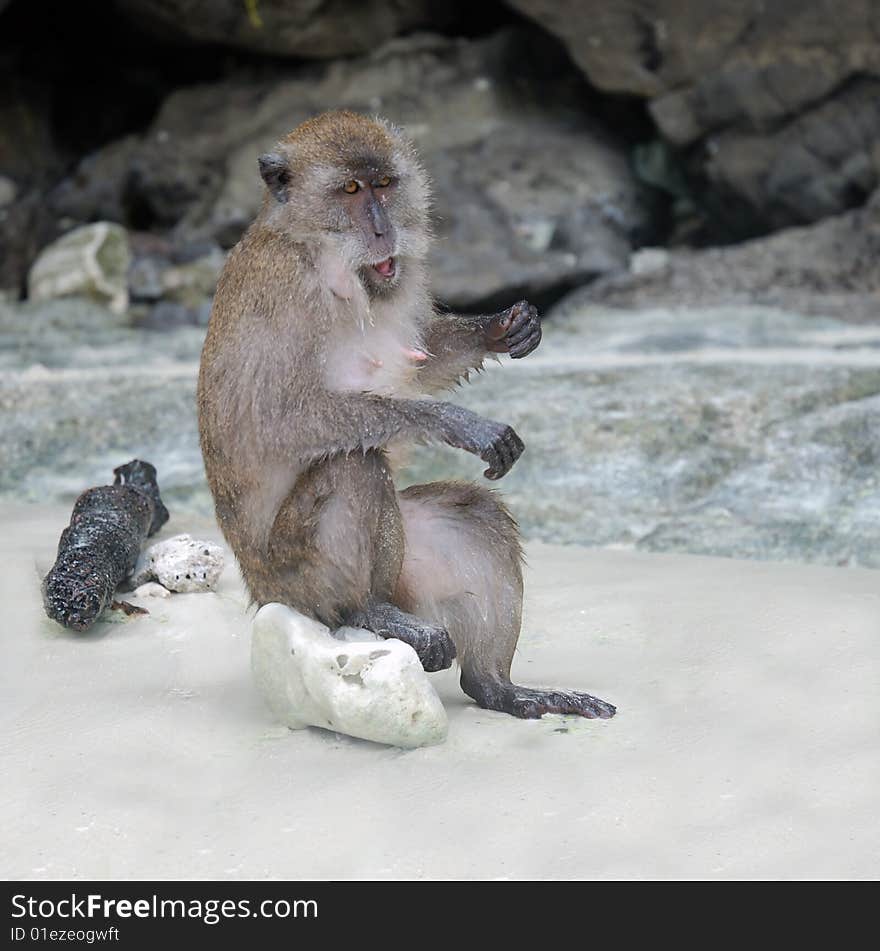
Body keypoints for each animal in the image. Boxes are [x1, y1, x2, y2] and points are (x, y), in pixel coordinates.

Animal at [197, 109, 616, 720]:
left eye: (384, 185)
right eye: (350, 190)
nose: (382, 230)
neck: (320, 250)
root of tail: (257, 587)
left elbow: (418, 362)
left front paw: (502, 328)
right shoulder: (285, 292)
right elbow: (275, 419)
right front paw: (456, 422)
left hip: (407, 561)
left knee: (473, 514)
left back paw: (499, 688)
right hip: (289, 578)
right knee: (353, 467)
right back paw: (361, 610)